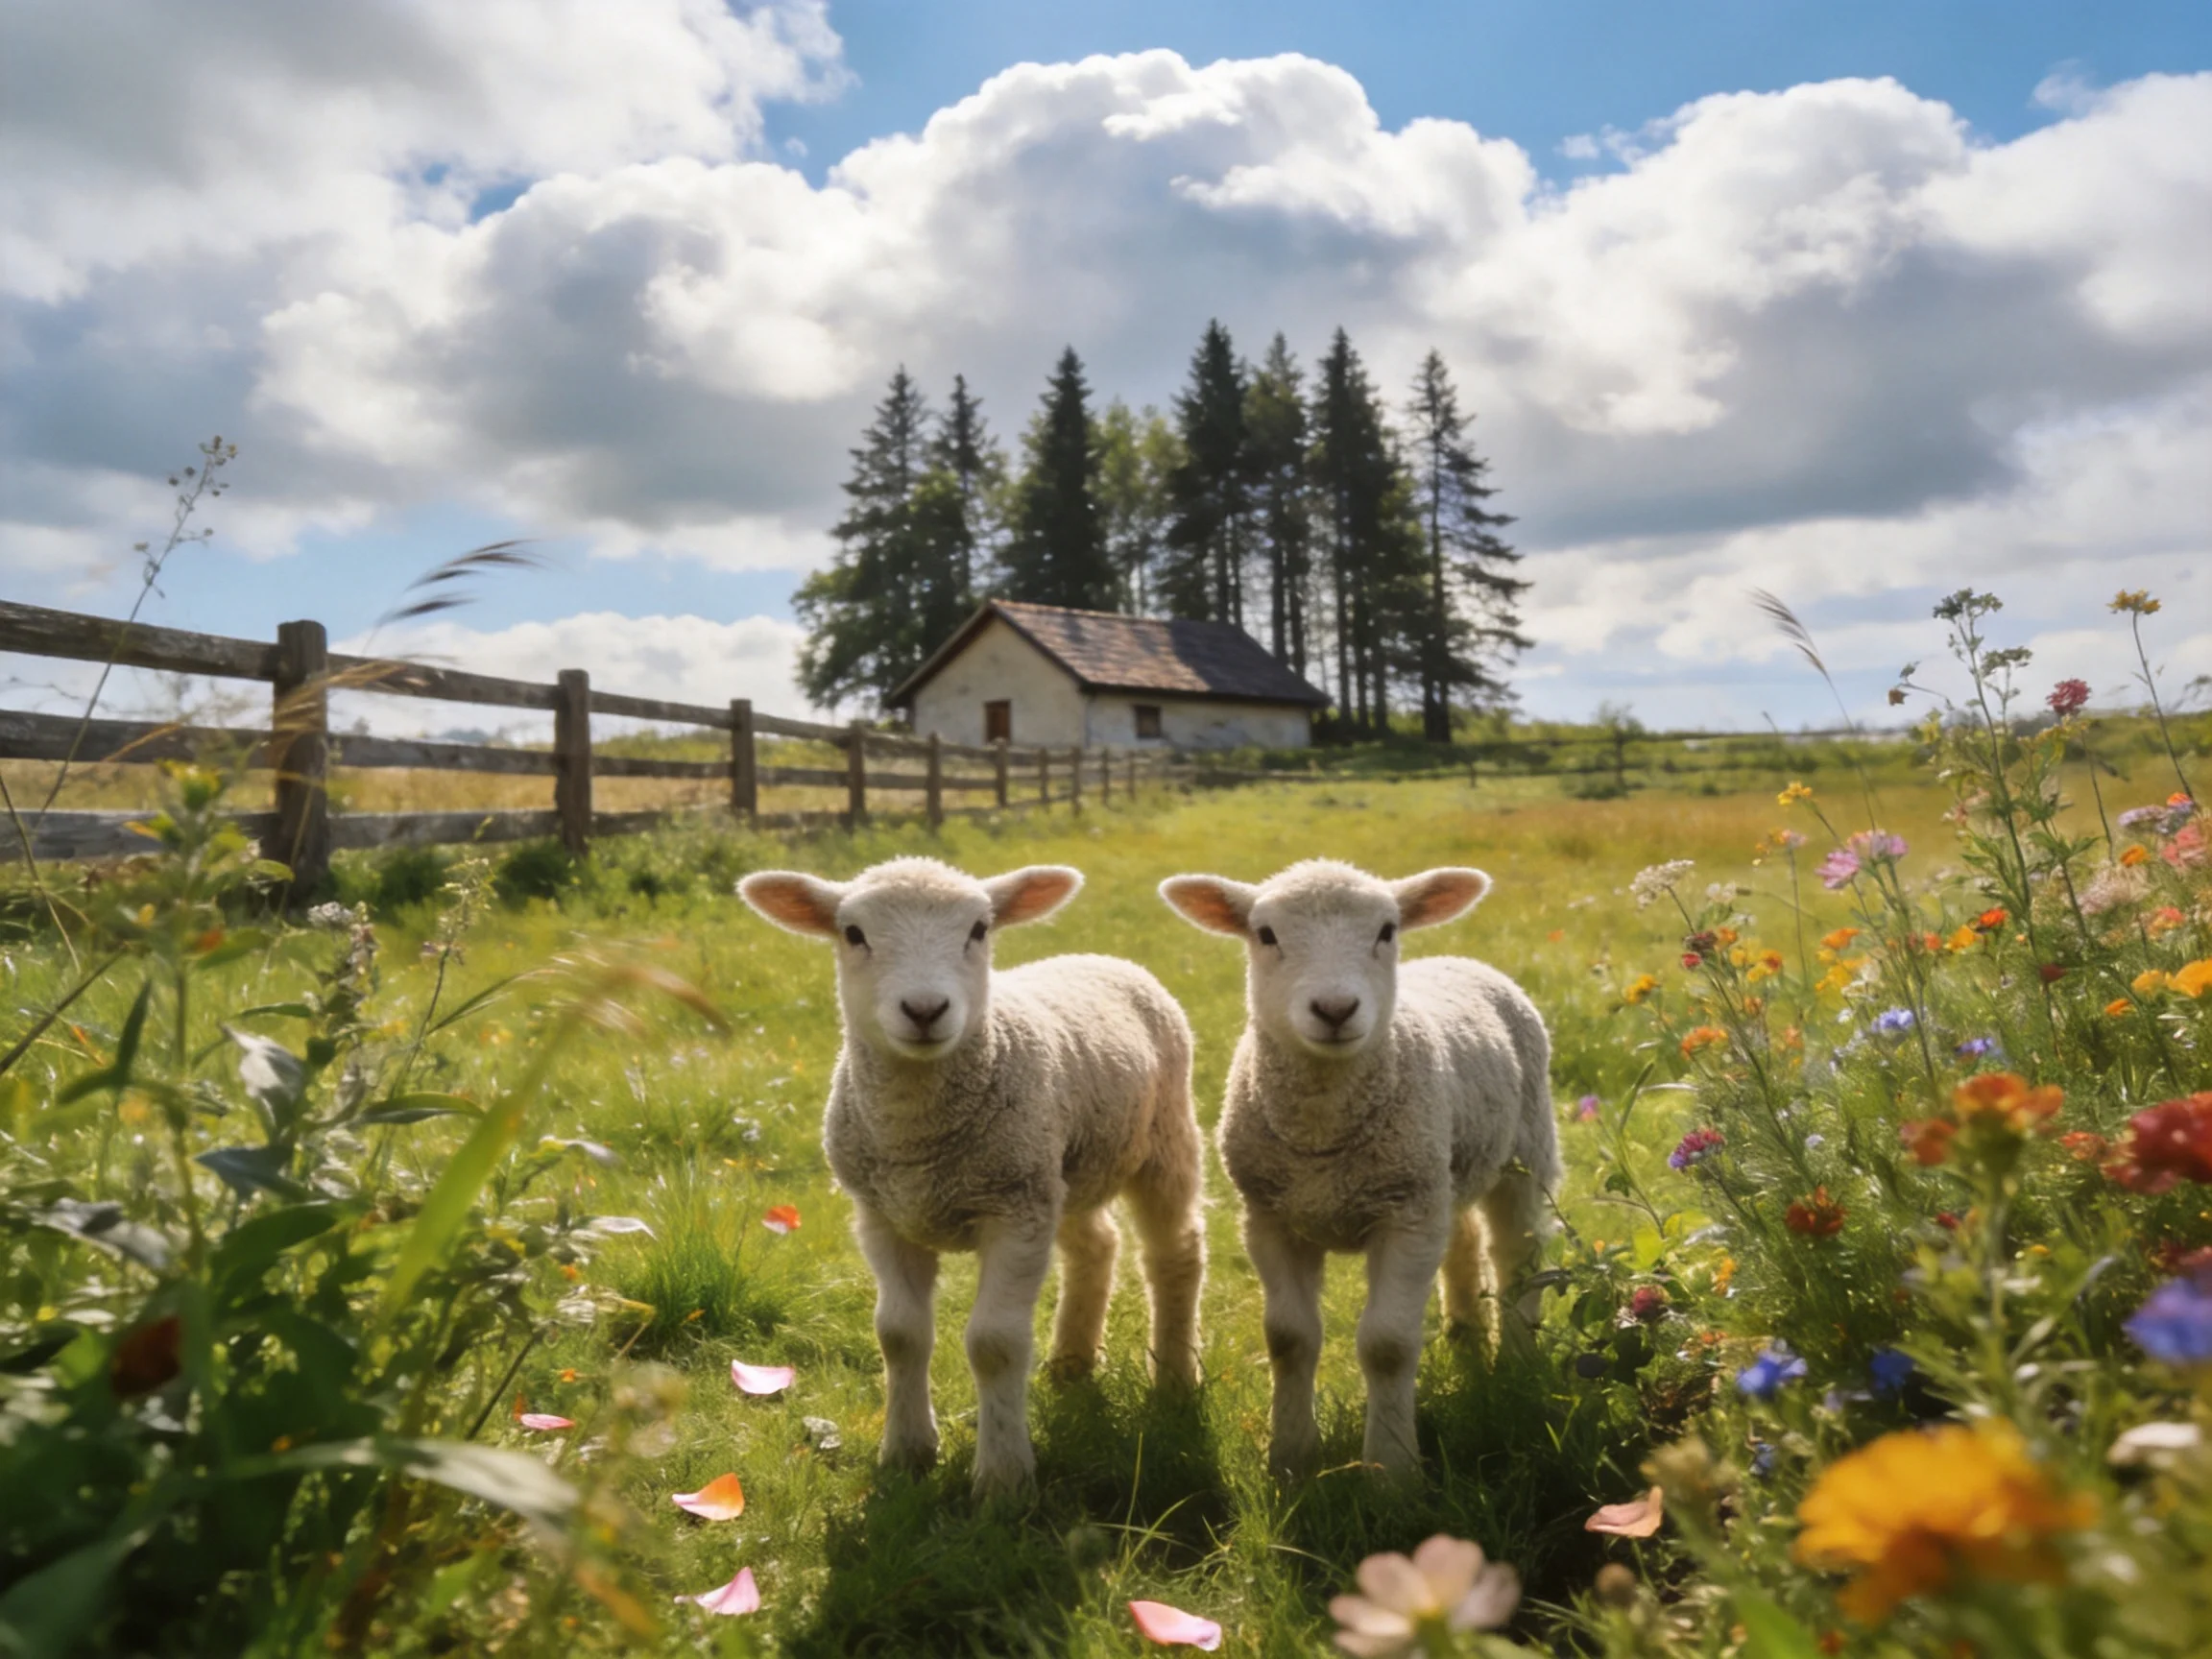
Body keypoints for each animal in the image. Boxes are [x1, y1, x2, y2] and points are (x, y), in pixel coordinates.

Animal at [738, 857, 1205, 1498]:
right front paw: (906, 1452)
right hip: (1060, 1168)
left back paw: (1177, 1378)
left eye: (979, 929)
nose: (925, 1010)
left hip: (1160, 1140)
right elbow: (899, 1334)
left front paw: (1004, 1479)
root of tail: (1099, 956)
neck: (917, 1140)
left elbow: (995, 1344)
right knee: (1096, 1246)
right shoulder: (884, 1215)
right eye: (853, 933)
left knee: (1174, 1252)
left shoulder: (1012, 1211)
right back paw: (1072, 1362)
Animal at [1158, 858, 1558, 1479]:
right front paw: (1290, 1458)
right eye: (1265, 934)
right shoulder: (1270, 1217)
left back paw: (1515, 1364)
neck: (1323, 1139)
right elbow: (1288, 1339)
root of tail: (1457, 958)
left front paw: (1392, 1470)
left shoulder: (1405, 1215)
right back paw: (1466, 1331)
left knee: (1519, 1255)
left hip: (1524, 1151)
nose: (1335, 1009)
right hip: (1441, 1167)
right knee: (1463, 1236)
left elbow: (1387, 1345)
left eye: (1387, 930)